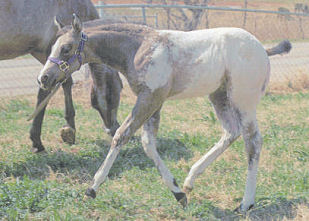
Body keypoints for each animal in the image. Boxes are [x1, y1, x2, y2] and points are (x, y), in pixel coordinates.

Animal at [0, 0, 121, 152]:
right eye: (115, 92)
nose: (115, 128)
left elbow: (60, 83)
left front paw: (68, 129)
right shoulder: (49, 53)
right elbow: (49, 89)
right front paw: (39, 141)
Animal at [37, 14, 290, 212]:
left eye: (66, 48)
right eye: (53, 47)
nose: (43, 78)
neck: (139, 48)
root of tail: (262, 47)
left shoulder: (150, 98)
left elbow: (121, 135)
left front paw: (92, 188)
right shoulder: (154, 102)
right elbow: (148, 144)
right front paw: (179, 194)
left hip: (243, 101)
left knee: (253, 142)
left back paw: (246, 203)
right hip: (219, 97)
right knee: (231, 132)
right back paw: (190, 179)